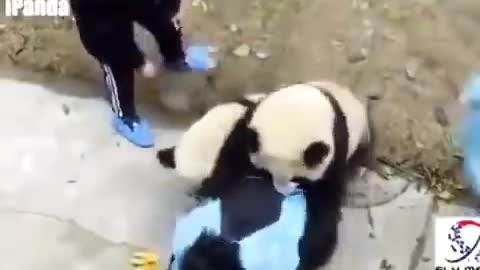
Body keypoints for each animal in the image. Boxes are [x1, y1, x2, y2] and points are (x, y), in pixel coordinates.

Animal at [242, 80, 376, 270]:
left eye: (298, 179)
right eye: (267, 174)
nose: (283, 193)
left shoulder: (337, 147)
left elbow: (325, 201)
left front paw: (310, 254)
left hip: (361, 137)